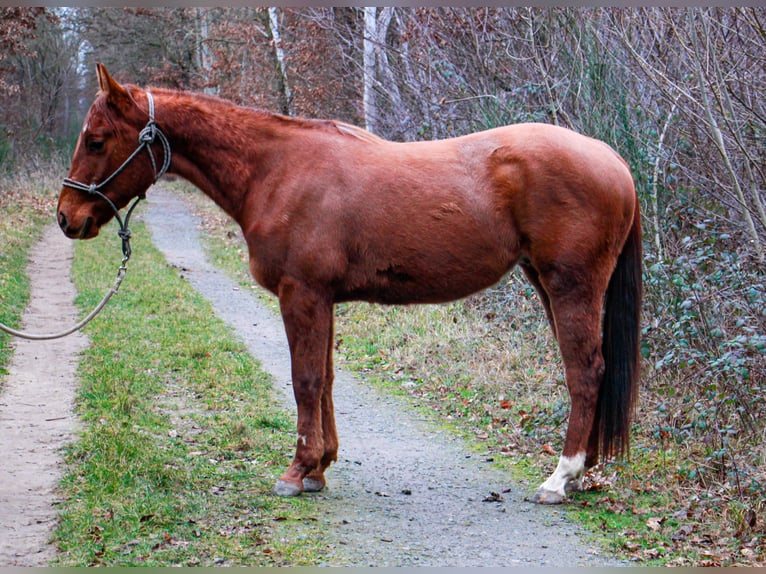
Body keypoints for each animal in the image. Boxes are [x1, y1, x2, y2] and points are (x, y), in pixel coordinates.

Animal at [57, 64, 642, 504]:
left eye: (97, 139)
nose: (67, 218)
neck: (276, 170)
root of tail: (610, 156)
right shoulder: (324, 299)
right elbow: (327, 379)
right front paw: (320, 467)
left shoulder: (301, 294)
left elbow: (305, 379)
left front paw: (297, 471)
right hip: (546, 284)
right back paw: (580, 473)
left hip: (570, 286)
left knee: (585, 372)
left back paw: (560, 479)